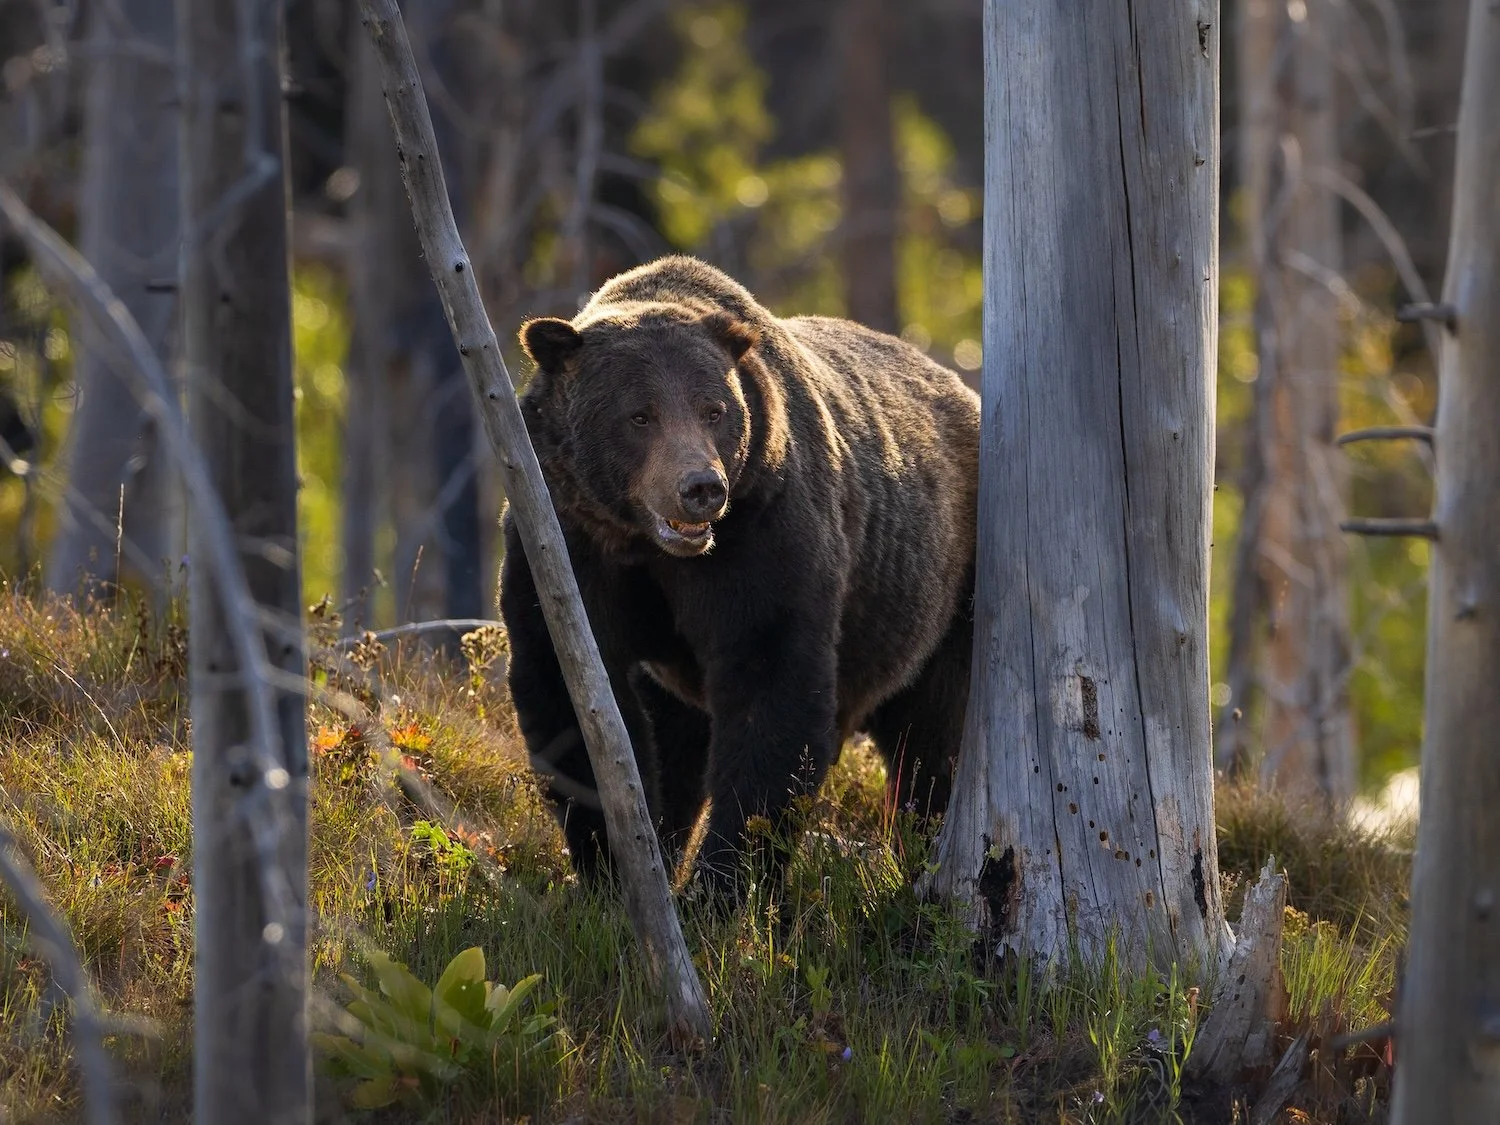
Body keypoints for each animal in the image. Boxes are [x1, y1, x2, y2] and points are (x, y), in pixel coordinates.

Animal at [499, 255, 979, 897]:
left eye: (714, 410)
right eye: (639, 415)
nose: (701, 487)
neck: (648, 547)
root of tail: (963, 389)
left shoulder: (762, 535)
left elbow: (769, 686)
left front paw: (720, 885)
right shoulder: (565, 539)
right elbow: (566, 687)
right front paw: (614, 867)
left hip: (940, 593)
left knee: (929, 736)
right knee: (676, 733)